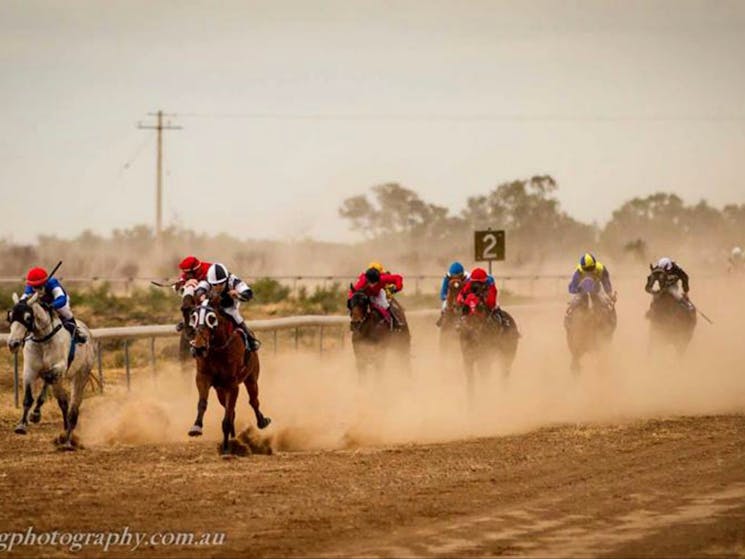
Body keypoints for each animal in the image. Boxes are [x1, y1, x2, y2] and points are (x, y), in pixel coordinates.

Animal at [5, 290, 94, 448]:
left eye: (28, 318)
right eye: (10, 317)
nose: (13, 344)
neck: (43, 339)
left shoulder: (59, 367)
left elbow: (47, 380)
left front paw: (35, 414)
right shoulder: (29, 371)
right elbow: (28, 398)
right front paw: (21, 425)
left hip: (81, 375)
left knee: (73, 408)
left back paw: (68, 442)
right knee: (63, 402)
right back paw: (63, 432)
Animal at [186, 296, 270, 458]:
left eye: (211, 318)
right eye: (193, 317)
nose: (199, 347)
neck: (218, 349)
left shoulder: (232, 385)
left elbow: (226, 418)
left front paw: (226, 449)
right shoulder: (203, 378)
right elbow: (203, 403)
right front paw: (196, 427)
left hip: (251, 379)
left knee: (253, 401)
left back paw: (262, 422)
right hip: (220, 390)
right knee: (232, 411)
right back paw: (233, 437)